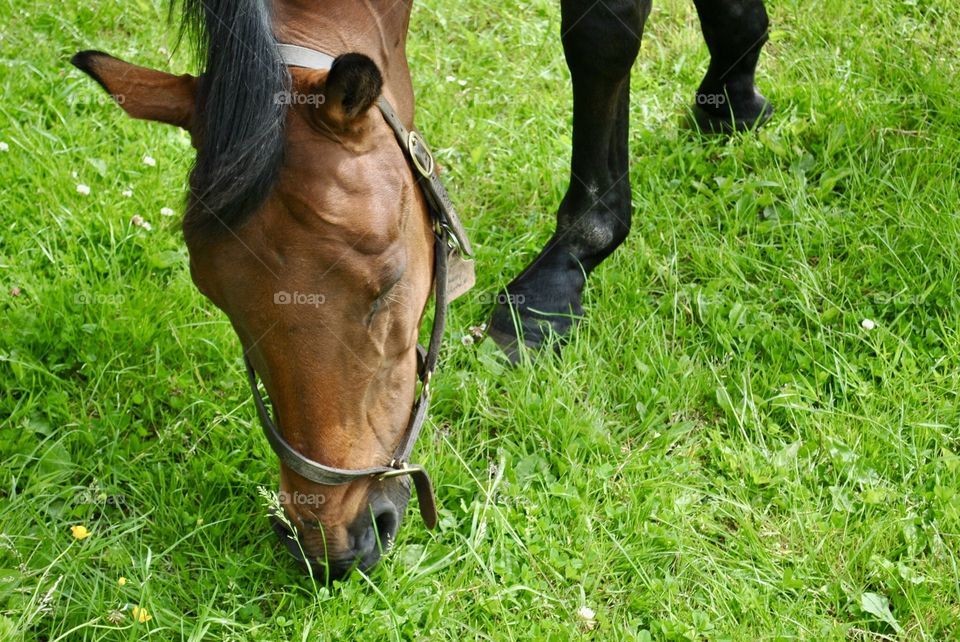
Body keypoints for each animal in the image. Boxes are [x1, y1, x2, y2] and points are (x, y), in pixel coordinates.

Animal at [71, 0, 768, 580]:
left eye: (386, 291)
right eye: (218, 299)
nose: (332, 547)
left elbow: (600, 38)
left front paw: (559, 277)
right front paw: (733, 91)